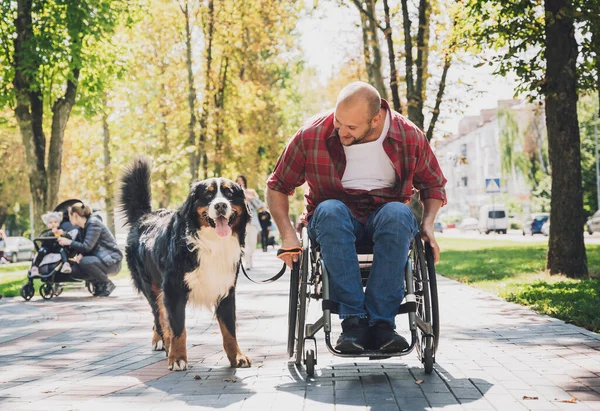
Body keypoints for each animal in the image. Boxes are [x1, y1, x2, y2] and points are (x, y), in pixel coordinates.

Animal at [120, 157, 252, 370]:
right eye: (208, 194)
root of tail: (145, 216)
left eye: (229, 193)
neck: (212, 244)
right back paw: (162, 342)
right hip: (152, 286)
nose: (221, 206)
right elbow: (177, 328)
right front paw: (177, 358)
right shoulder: (173, 289)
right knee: (159, 316)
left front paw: (237, 357)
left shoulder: (226, 289)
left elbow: (230, 330)